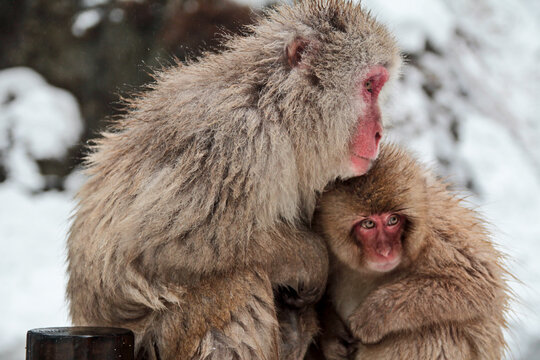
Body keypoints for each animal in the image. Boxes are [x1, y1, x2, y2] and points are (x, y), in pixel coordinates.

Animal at [65, 1, 400, 358]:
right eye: (369, 86)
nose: (379, 133)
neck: (279, 111)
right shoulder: (230, 144)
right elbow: (161, 246)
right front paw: (312, 259)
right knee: (237, 283)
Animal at [314, 145, 508, 358]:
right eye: (368, 224)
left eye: (393, 220)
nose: (385, 251)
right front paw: (332, 337)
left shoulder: (438, 235)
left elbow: (479, 284)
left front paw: (374, 315)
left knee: (435, 333)